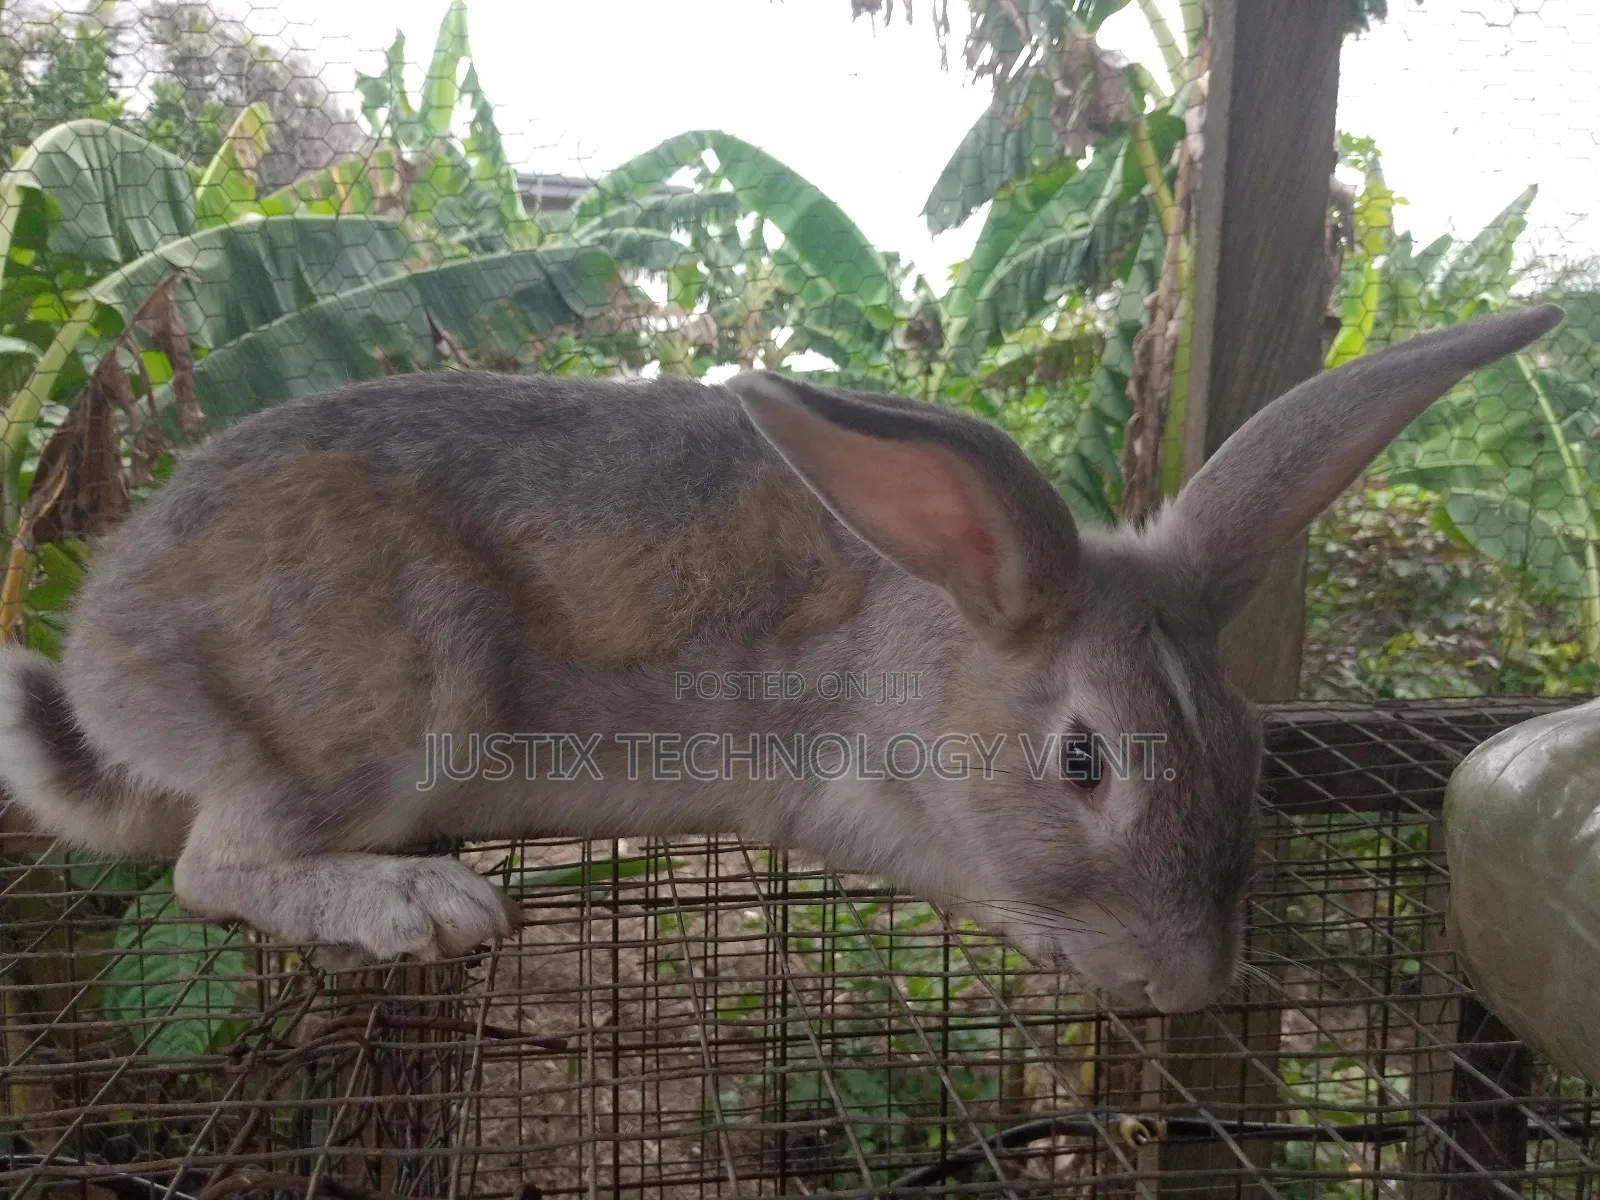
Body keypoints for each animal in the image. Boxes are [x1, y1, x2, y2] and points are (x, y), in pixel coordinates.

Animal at [0, 302, 1563, 1013]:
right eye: (1084, 761)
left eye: (1245, 746)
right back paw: (416, 909)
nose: (1187, 987)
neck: (912, 668)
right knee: (216, 866)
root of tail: (104, 655)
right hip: (375, 705)